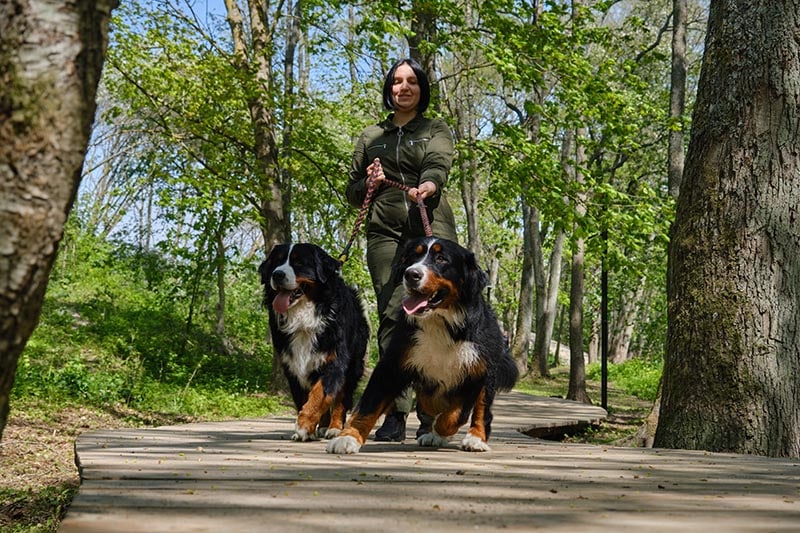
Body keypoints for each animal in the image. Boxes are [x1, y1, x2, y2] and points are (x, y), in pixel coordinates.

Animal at [260, 242, 368, 440]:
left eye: (299, 263)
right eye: (276, 262)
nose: (277, 274)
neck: (304, 318)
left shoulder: (333, 361)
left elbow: (319, 396)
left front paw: (303, 427)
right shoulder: (293, 366)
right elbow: (304, 400)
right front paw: (306, 429)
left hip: (353, 365)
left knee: (342, 398)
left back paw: (334, 428)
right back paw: (323, 426)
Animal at [324, 237, 520, 454]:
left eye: (441, 259)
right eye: (413, 257)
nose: (411, 274)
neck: (440, 321)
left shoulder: (475, 373)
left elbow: (454, 415)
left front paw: (439, 432)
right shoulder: (393, 363)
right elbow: (369, 404)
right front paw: (348, 437)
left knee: (480, 410)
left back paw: (474, 438)